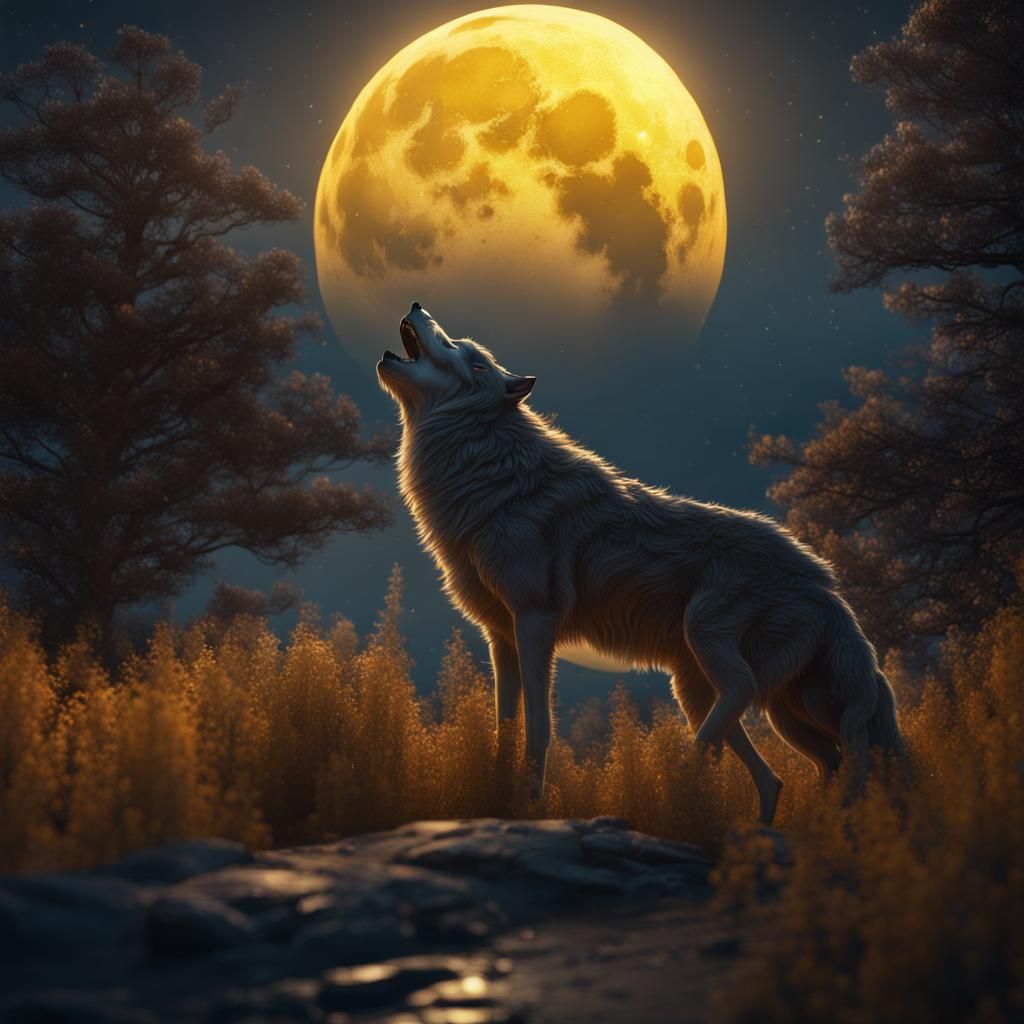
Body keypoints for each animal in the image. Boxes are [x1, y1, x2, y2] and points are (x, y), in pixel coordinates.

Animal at [378, 303, 901, 824]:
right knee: (801, 766)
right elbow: (503, 727)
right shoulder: (500, 636)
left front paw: (530, 804)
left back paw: (684, 775)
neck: (494, 475)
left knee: (748, 700)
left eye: (464, 352)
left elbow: (539, 727)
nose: (417, 305)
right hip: (751, 701)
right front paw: (497, 799)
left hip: (712, 645)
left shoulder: (534, 621)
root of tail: (827, 585)